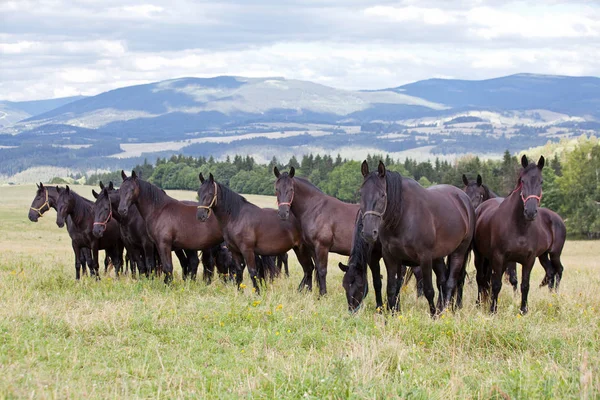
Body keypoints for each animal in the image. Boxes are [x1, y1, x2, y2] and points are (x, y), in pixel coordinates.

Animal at [274, 166, 382, 296]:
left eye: (291, 189)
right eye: (276, 189)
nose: (283, 213)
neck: (316, 209)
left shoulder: (322, 247)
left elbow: (322, 271)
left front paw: (323, 294)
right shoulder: (313, 248)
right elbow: (317, 268)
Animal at [358, 160, 476, 316]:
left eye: (383, 195)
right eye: (361, 194)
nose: (368, 232)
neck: (403, 216)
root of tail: (464, 199)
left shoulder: (425, 257)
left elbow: (428, 290)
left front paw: (432, 316)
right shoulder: (391, 257)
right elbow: (392, 289)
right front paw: (392, 315)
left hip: (459, 251)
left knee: (451, 282)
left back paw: (444, 310)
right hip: (438, 256)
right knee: (442, 280)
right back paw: (441, 309)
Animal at [474, 155, 564, 314]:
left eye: (541, 181)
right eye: (523, 181)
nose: (530, 212)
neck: (519, 227)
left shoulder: (529, 260)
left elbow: (524, 285)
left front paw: (523, 310)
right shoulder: (499, 258)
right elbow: (496, 284)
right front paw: (492, 310)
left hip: (552, 253)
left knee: (556, 270)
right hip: (481, 255)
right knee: (481, 278)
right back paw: (479, 304)